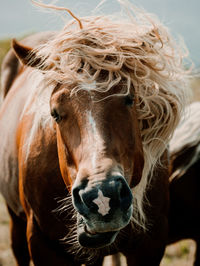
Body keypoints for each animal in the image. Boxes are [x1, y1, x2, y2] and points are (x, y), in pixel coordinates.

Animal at [0, 2, 188, 266]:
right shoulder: (41, 245)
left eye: (130, 98)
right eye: (54, 113)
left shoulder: (150, 244)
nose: (102, 196)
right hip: (15, 223)